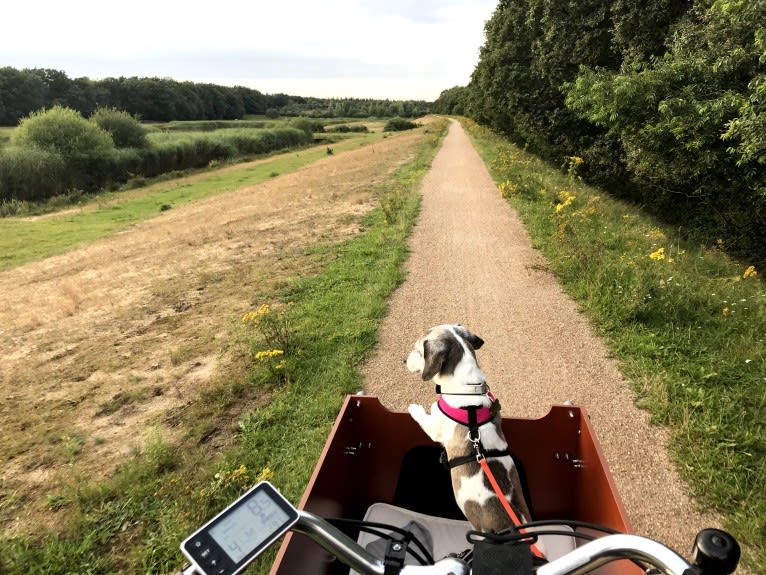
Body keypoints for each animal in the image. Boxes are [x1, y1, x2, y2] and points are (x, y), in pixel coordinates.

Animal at [404, 324, 536, 536]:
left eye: (417, 351)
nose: (404, 360)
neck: (466, 388)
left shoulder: (434, 426)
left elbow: (424, 416)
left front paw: (414, 408)